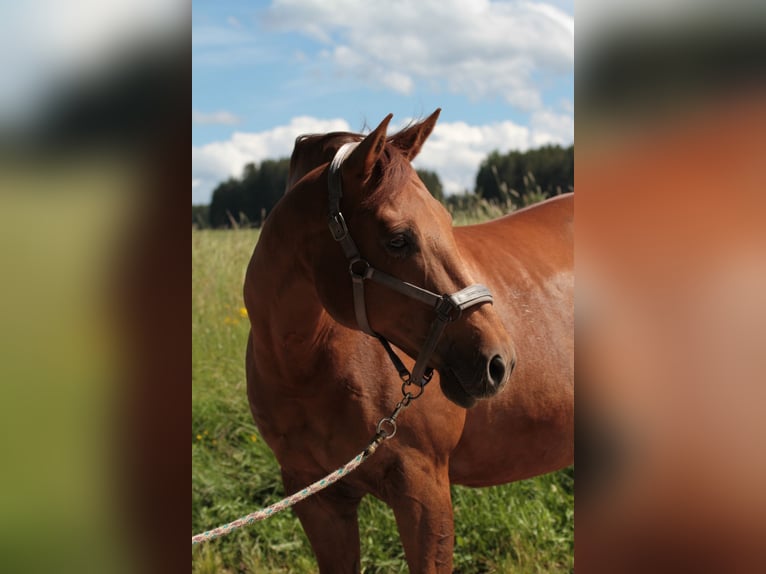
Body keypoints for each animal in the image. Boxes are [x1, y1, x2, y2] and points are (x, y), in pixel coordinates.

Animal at [243, 110, 572, 572]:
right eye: (397, 239)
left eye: (447, 223)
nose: (499, 361)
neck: (305, 368)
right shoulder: (316, 498)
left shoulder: (424, 490)